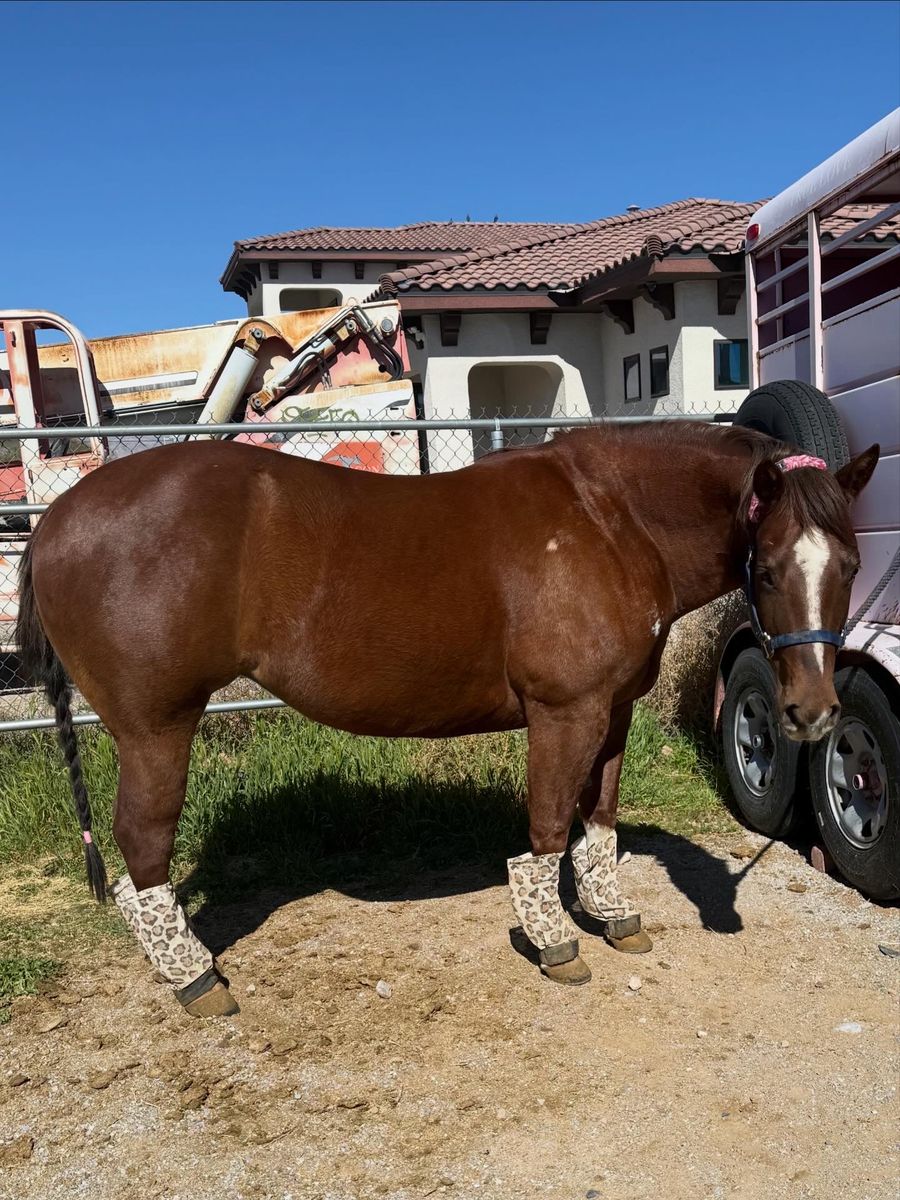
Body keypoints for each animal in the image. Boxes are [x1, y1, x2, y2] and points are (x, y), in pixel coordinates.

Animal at [16, 422, 878, 1015]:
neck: (607, 518)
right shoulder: (564, 714)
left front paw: (613, 916)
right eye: (768, 569)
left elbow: (598, 825)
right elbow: (546, 831)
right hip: (155, 728)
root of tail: (55, 518)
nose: (810, 712)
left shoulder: (614, 712)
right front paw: (556, 942)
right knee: (143, 847)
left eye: (850, 565)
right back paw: (194, 977)